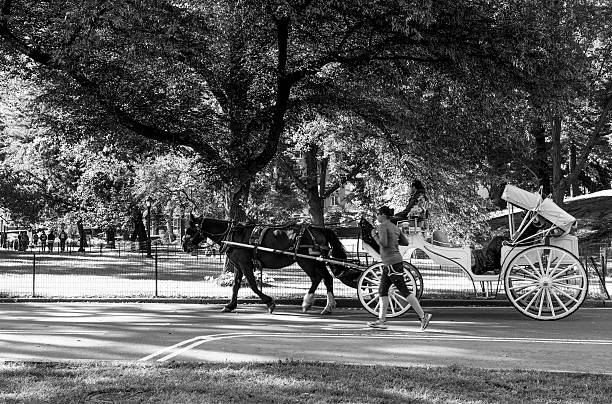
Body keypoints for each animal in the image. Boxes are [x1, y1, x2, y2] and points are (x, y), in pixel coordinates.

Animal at [182, 215, 356, 316]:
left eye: (189, 229)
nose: (184, 246)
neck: (233, 234)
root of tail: (318, 229)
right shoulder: (238, 265)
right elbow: (236, 286)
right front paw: (230, 305)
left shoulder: (245, 264)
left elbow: (252, 285)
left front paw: (270, 302)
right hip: (316, 260)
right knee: (326, 278)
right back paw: (328, 306)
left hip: (306, 260)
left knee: (317, 278)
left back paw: (308, 302)